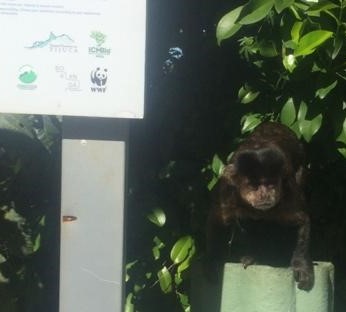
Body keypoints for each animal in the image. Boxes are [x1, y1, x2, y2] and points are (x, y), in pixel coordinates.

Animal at [207, 121, 314, 290]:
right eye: (254, 186)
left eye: (270, 184)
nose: (264, 195)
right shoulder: (226, 189)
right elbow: (216, 221)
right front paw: (213, 265)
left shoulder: (288, 186)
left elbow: (302, 220)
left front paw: (301, 265)